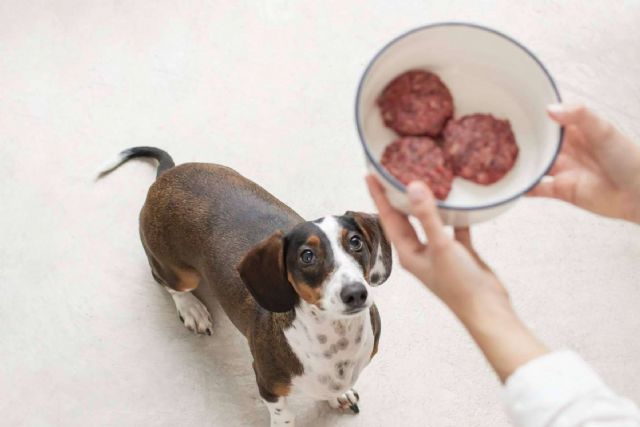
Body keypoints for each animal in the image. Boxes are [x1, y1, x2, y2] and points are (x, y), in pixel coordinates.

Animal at [98, 147, 392, 426]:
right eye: (307, 256)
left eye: (355, 241)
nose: (355, 293)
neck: (335, 342)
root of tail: (166, 175)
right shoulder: (266, 382)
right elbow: (283, 415)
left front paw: (339, 395)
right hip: (180, 273)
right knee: (166, 281)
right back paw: (192, 309)